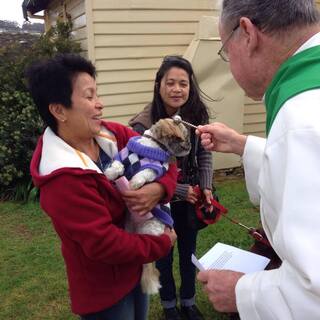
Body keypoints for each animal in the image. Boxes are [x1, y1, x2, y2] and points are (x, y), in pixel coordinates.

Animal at [104, 119, 190, 294]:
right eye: (184, 137)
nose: (190, 144)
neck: (151, 146)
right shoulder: (122, 156)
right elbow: (117, 164)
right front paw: (111, 173)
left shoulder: (155, 169)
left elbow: (144, 174)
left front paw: (134, 183)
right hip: (129, 227)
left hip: (149, 228)